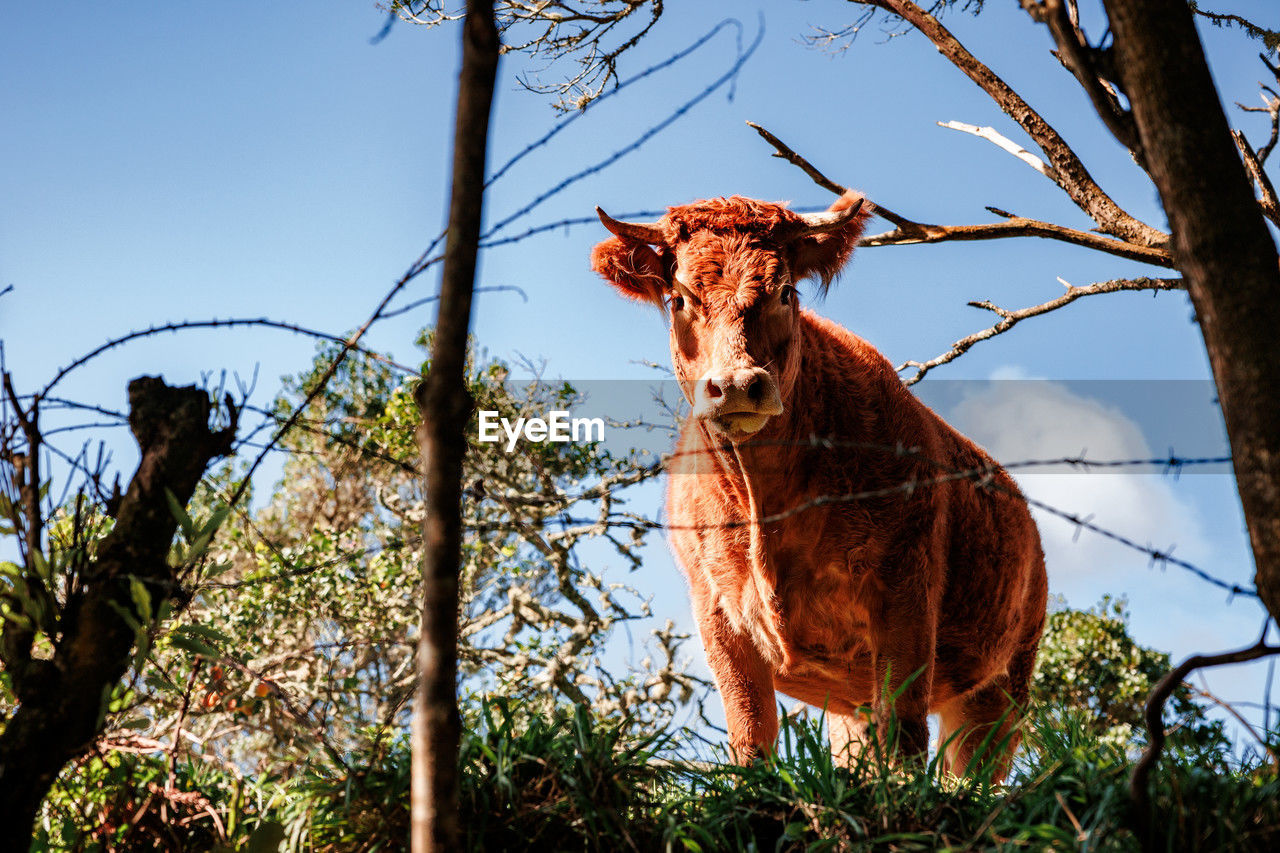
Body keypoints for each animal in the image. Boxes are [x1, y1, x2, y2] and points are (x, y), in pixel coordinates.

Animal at [593, 189, 1044, 773]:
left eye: (785, 292)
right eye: (678, 300)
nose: (735, 386)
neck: (766, 498)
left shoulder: (905, 594)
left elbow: (904, 731)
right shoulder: (716, 613)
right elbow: (750, 734)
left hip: (1001, 687)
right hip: (850, 706)